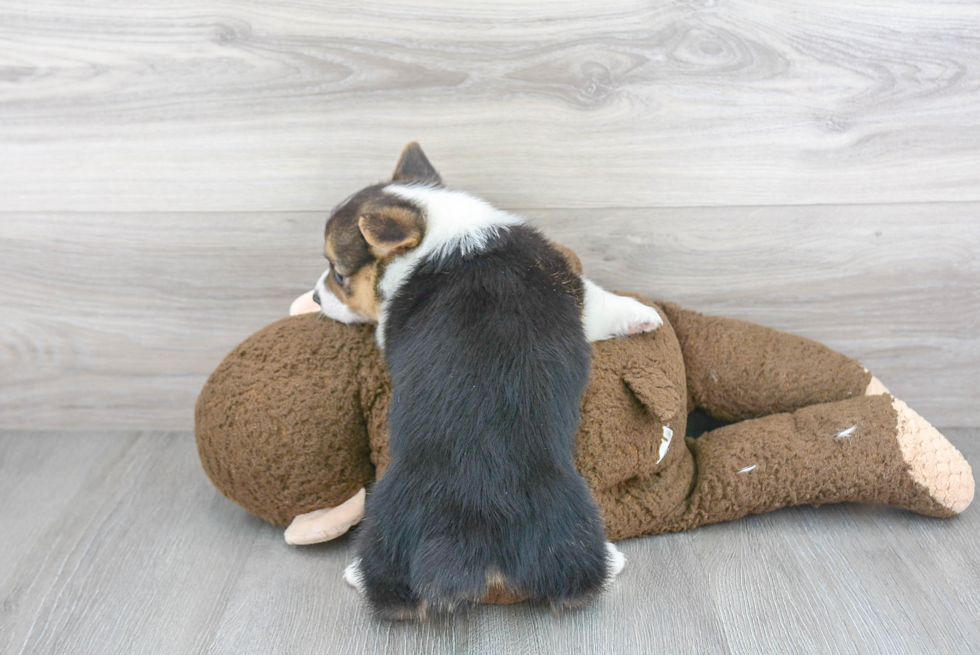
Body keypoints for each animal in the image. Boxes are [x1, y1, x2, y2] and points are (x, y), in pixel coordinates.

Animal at [318, 144, 660, 620]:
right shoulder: (573, 289)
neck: (439, 229)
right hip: (568, 519)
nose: (316, 298)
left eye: (338, 275)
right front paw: (642, 317)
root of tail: (471, 537)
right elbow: (603, 301)